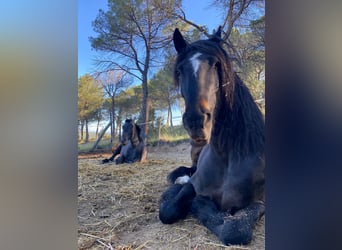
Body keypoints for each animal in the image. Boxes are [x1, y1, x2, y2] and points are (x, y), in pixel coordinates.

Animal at [159, 26, 266, 245]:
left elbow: (235, 230)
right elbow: (169, 209)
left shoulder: (260, 202)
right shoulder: (194, 184)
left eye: (216, 64)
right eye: (180, 70)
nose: (196, 122)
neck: (228, 158)